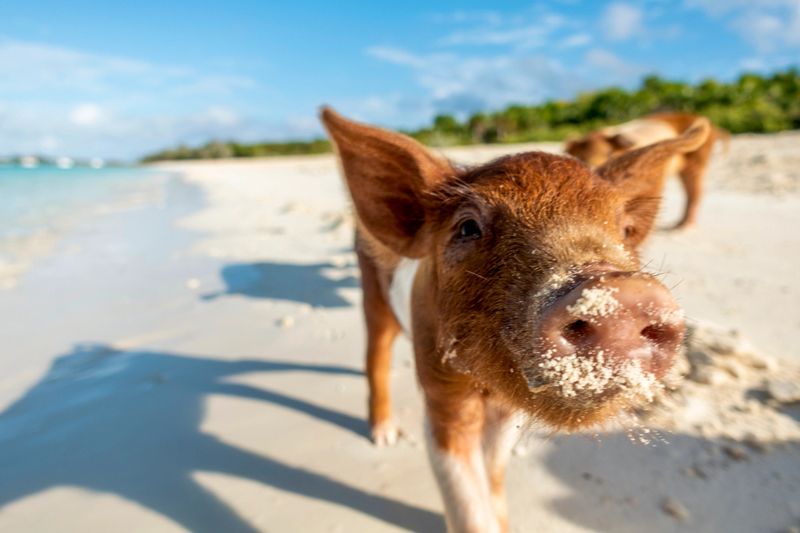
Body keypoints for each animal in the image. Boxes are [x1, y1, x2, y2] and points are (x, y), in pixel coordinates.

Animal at [321, 107, 709, 532]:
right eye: (467, 227)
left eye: (624, 230)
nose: (622, 293)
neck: (486, 386)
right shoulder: (441, 389)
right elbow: (466, 500)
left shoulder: (508, 409)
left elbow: (493, 470)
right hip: (372, 290)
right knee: (376, 354)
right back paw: (385, 436)